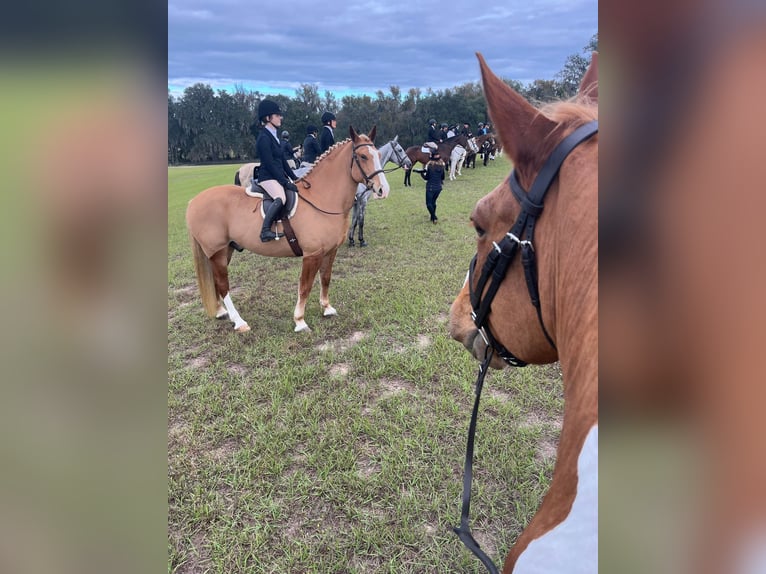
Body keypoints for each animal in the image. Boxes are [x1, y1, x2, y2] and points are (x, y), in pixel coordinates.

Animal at [187, 126, 390, 332]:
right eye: (363, 156)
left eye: (378, 154)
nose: (383, 190)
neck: (321, 197)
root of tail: (194, 201)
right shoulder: (312, 255)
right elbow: (305, 286)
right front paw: (300, 321)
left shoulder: (330, 251)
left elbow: (325, 278)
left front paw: (327, 308)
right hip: (217, 252)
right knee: (222, 284)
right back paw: (239, 322)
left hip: (225, 250)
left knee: (215, 281)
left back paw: (221, 312)